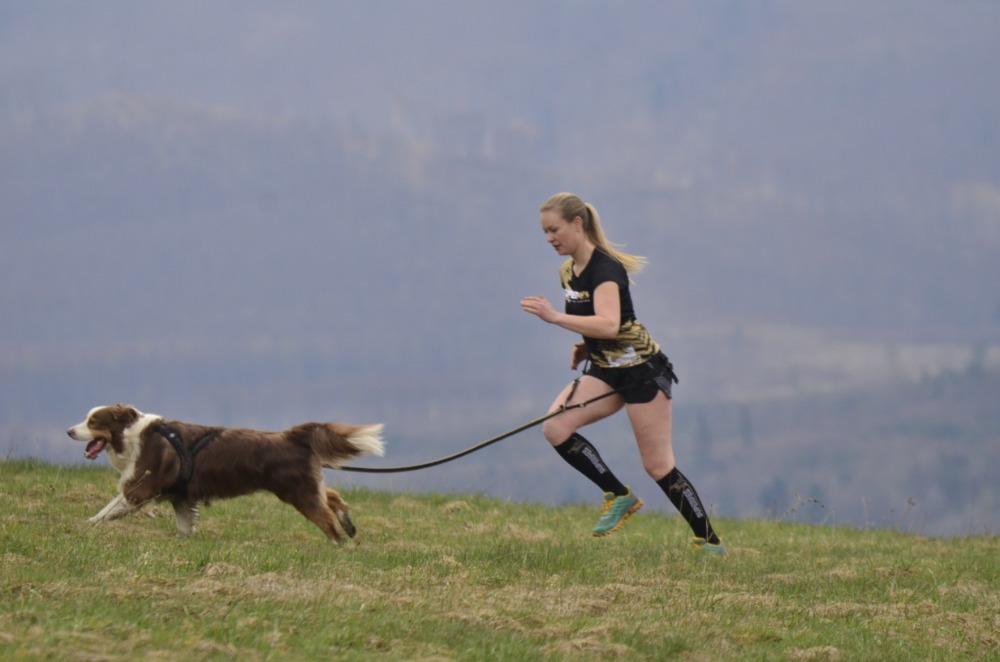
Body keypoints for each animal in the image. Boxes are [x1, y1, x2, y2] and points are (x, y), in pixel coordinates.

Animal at [66, 404, 384, 544]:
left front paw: (84, 526)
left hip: (298, 491)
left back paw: (338, 544)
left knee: (325, 516)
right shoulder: (181, 496)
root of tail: (293, 436)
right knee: (333, 496)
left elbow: (106, 511)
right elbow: (184, 526)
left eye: (93, 421)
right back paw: (348, 525)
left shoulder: (140, 487)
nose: (69, 431)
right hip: (304, 485)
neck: (132, 435)